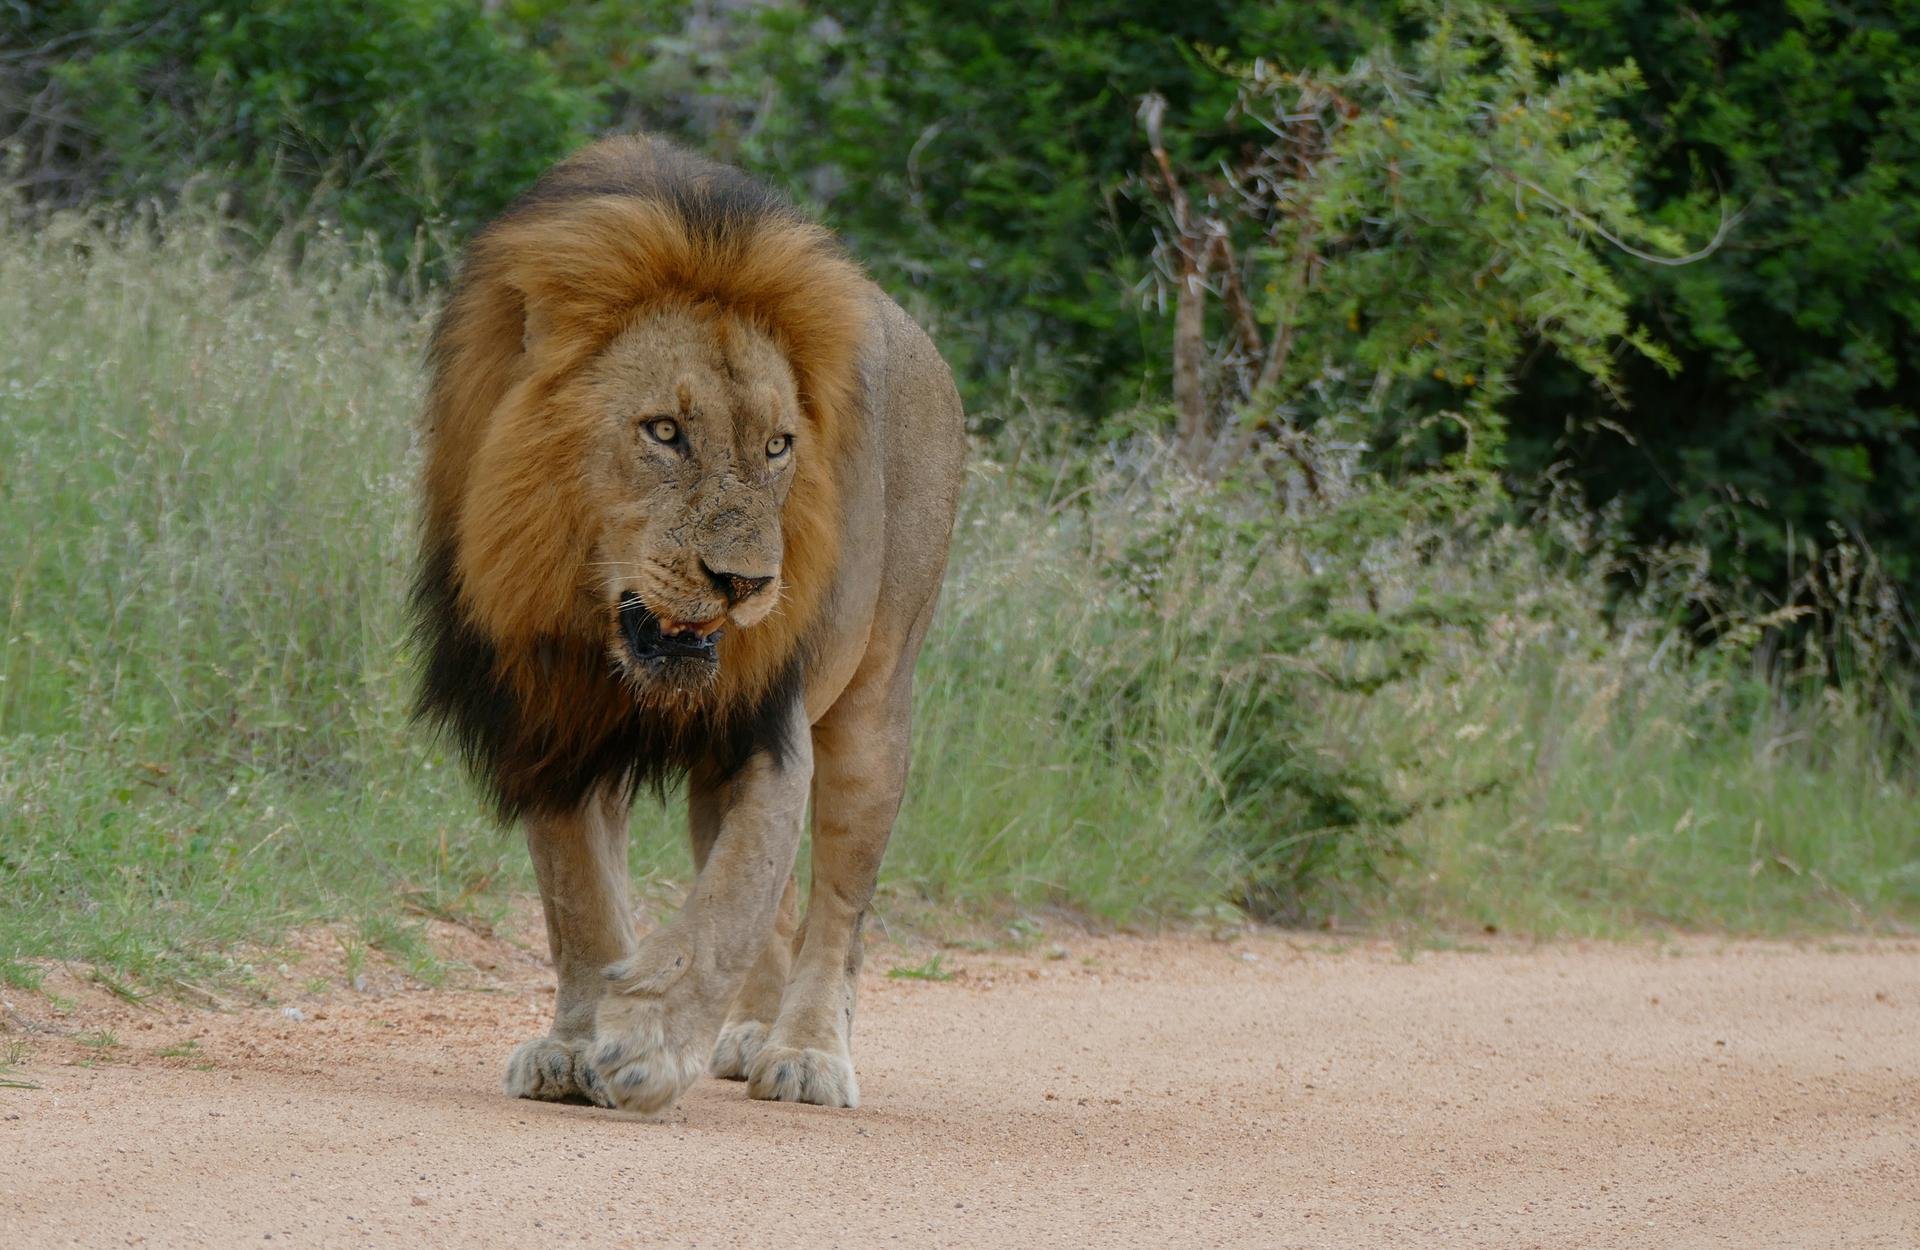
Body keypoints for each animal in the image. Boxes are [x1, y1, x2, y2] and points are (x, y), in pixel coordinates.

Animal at [414, 134, 967, 1113]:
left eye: (779, 446)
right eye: (665, 431)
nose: (746, 584)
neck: (598, 634)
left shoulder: (769, 724)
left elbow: (724, 909)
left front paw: (647, 1048)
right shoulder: (552, 720)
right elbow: (583, 906)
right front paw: (573, 1047)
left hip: (873, 710)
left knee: (837, 907)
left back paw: (806, 1053)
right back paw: (746, 1034)